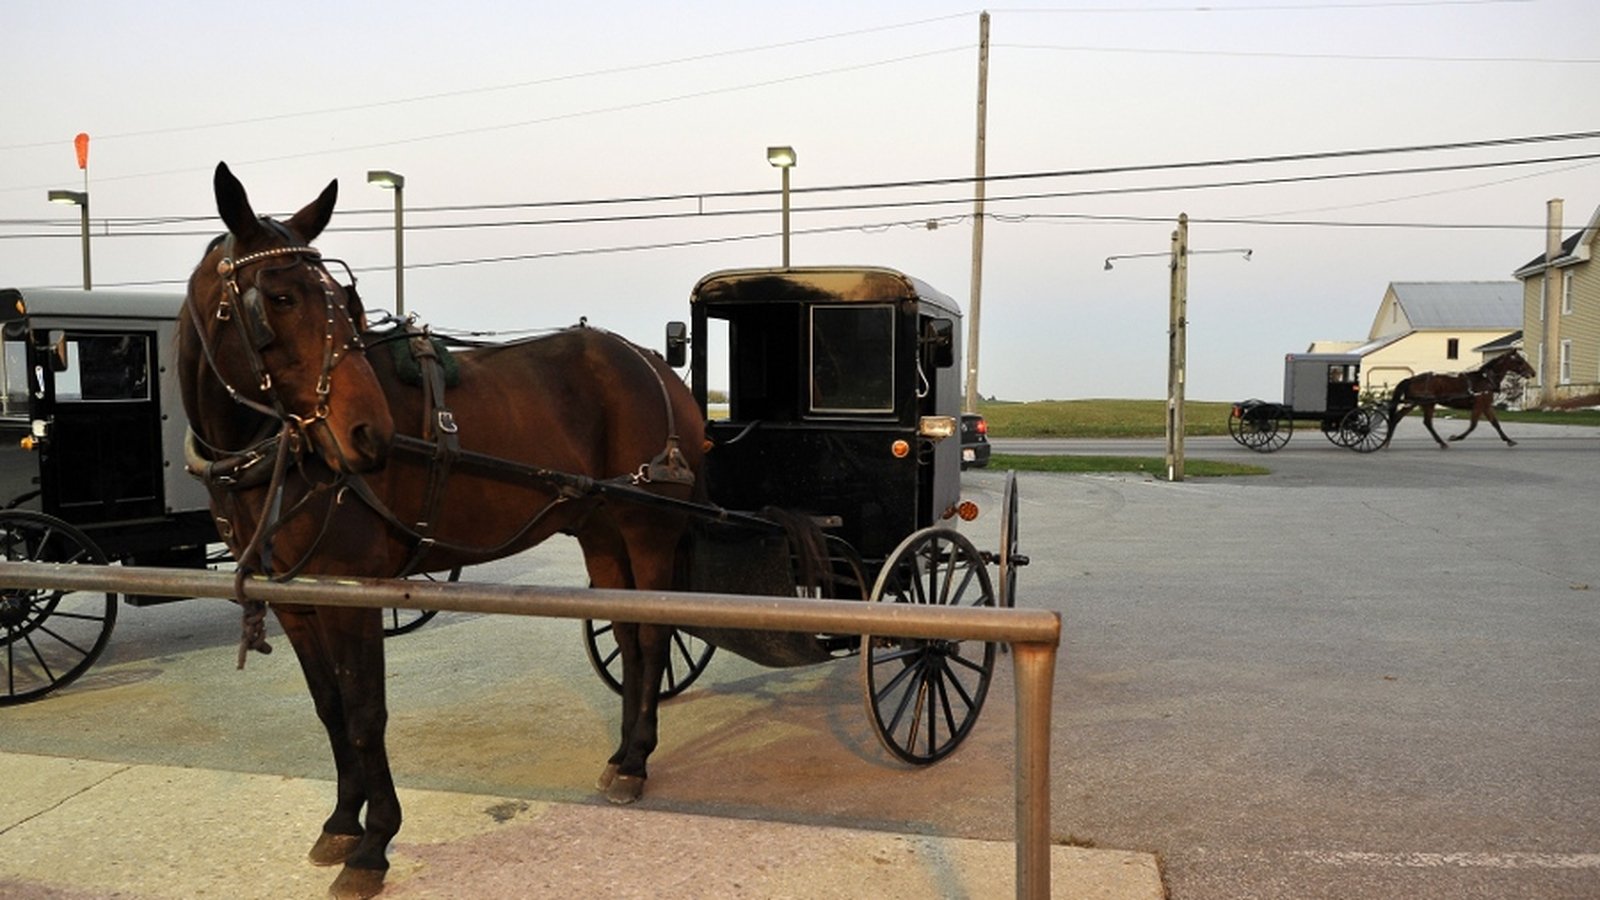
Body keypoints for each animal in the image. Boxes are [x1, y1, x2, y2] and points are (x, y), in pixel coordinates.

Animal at [178, 162, 704, 896]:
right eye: (279, 298)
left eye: (345, 301)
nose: (369, 434)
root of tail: (653, 359)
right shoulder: (295, 597)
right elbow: (330, 708)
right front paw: (340, 822)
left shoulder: (354, 590)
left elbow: (366, 715)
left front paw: (374, 844)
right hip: (600, 530)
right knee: (627, 638)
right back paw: (623, 751)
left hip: (646, 526)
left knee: (654, 638)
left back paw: (636, 762)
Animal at [1376, 350, 1536, 448]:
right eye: (1520, 361)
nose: (1533, 373)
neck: (1485, 379)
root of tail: (1411, 379)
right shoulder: (1479, 405)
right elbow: (1473, 425)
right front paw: (1456, 437)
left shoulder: (1486, 405)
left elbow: (1495, 423)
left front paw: (1509, 440)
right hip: (1424, 403)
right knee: (1423, 422)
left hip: (1417, 403)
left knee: (1403, 418)